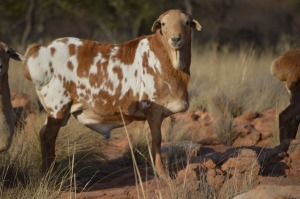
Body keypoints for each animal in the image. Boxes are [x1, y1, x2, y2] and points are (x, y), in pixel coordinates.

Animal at [22, 9, 202, 175]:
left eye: (186, 23)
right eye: (163, 24)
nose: (176, 39)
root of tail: (39, 50)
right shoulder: (153, 109)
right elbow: (157, 140)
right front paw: (162, 173)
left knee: (44, 134)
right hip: (57, 107)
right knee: (47, 136)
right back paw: (50, 171)